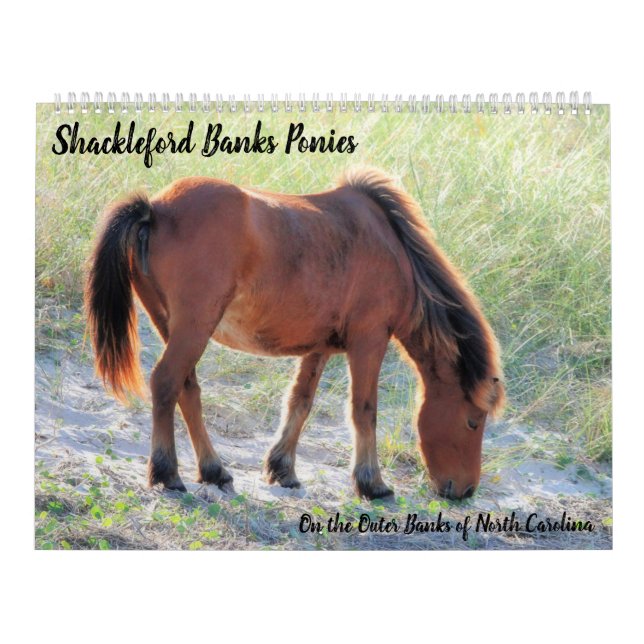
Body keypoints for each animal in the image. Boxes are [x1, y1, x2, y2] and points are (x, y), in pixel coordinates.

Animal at [85, 168, 504, 501]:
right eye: (473, 420)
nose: (466, 490)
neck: (392, 248)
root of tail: (155, 210)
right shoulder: (369, 341)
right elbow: (364, 410)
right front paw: (372, 483)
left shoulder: (319, 347)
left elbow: (300, 402)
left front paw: (282, 468)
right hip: (193, 328)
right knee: (166, 383)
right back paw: (167, 472)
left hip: (173, 325)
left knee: (186, 390)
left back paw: (214, 470)